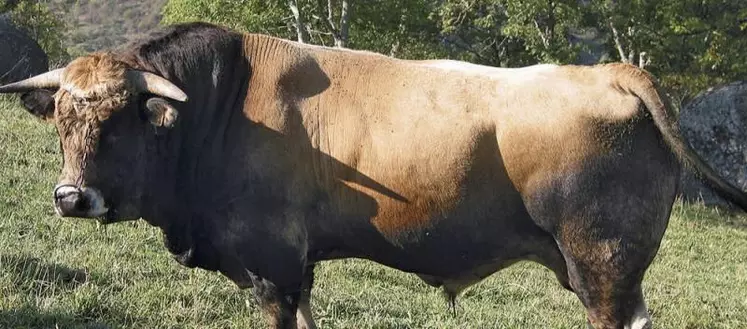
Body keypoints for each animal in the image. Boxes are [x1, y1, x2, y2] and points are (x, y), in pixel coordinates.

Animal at [1, 21, 747, 326]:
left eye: (120, 118)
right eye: (62, 117)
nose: (71, 196)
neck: (221, 103)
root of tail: (608, 71)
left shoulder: (272, 264)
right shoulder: (296, 268)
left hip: (601, 265)